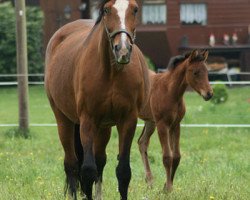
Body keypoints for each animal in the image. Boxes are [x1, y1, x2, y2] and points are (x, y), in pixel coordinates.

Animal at [139, 49, 213, 191]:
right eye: (195, 72)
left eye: (207, 72)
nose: (209, 94)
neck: (170, 91)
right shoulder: (162, 125)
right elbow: (167, 156)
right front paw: (168, 188)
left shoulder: (175, 125)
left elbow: (176, 156)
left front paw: (167, 185)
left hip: (150, 122)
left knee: (142, 142)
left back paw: (150, 181)